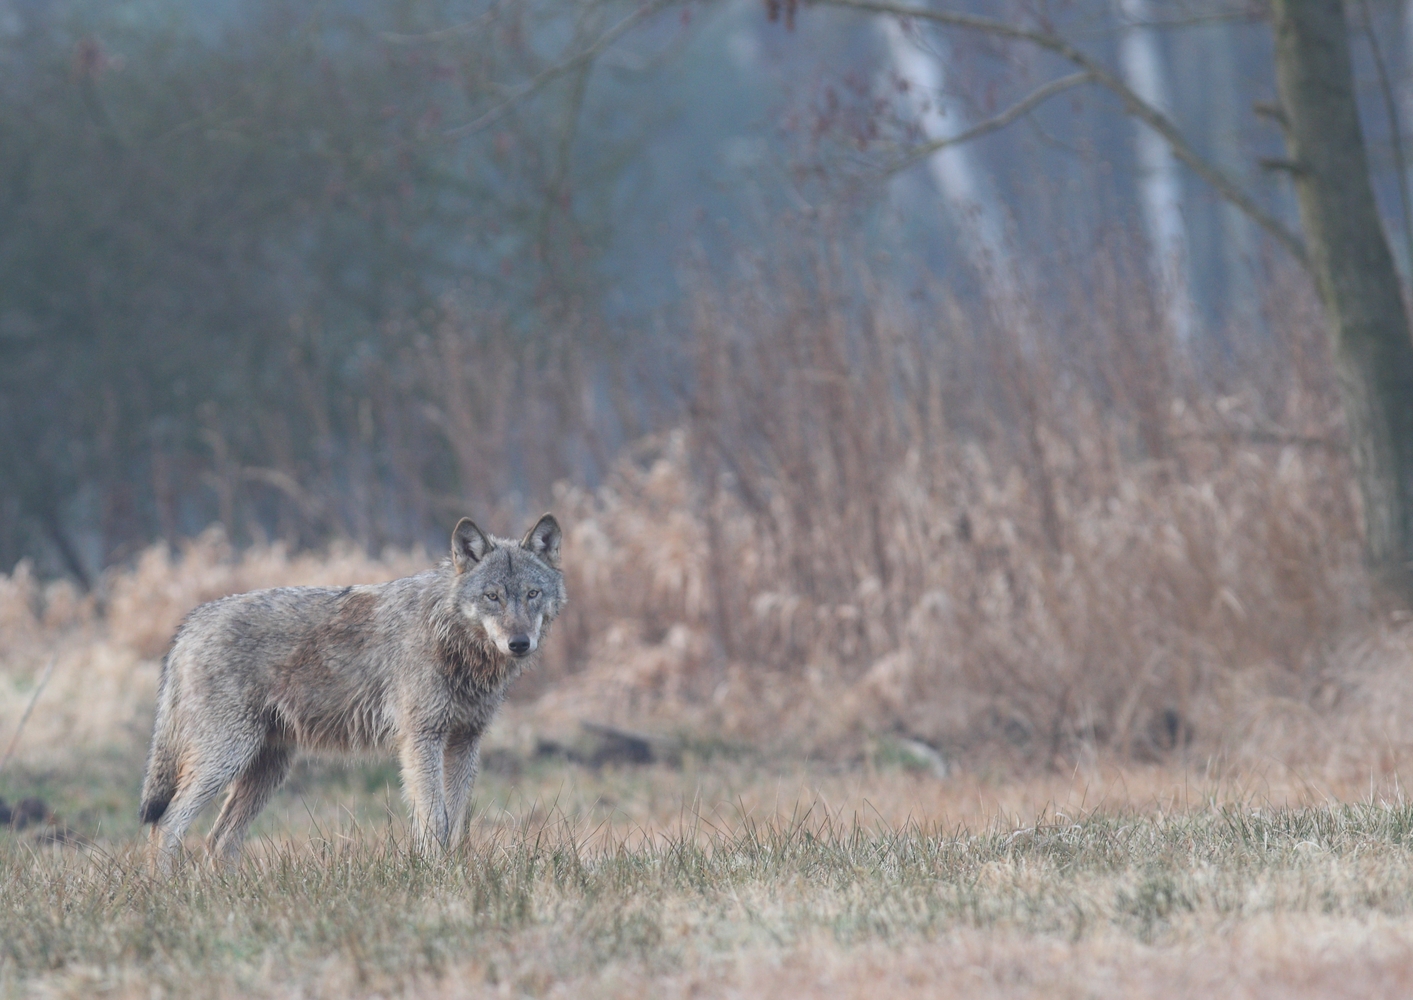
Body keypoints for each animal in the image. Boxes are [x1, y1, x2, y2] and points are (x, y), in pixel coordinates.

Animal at [139, 511, 562, 864]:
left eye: (532, 594)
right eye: (492, 596)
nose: (519, 643)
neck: (450, 637)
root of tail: (191, 623)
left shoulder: (465, 740)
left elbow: (456, 820)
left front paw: (455, 871)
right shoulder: (421, 739)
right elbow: (435, 820)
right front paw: (435, 873)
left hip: (267, 769)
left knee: (219, 839)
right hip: (227, 757)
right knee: (167, 824)